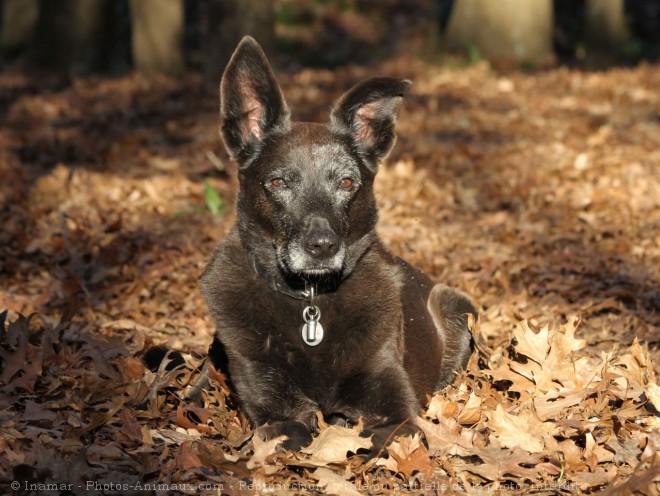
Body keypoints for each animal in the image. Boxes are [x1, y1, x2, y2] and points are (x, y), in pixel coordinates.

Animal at [193, 35, 476, 454]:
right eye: (278, 182)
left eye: (346, 182)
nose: (322, 245)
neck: (310, 301)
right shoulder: (275, 413)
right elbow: (292, 430)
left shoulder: (397, 413)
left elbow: (379, 433)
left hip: (457, 308)